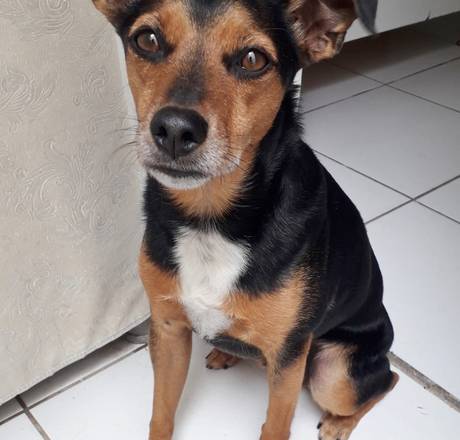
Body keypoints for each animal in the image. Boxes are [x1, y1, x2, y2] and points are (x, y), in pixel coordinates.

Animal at [92, 1, 398, 439]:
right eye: (146, 40)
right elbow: (161, 411)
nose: (174, 129)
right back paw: (227, 353)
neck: (212, 219)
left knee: (387, 381)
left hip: (332, 372)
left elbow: (275, 424)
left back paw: (338, 425)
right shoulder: (168, 328)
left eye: (253, 59)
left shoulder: (289, 355)